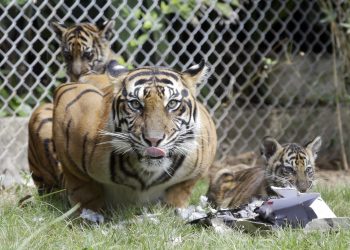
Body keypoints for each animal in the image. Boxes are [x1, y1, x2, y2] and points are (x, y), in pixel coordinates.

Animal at [32, 61, 217, 212]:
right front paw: (88, 216)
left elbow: (181, 191)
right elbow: (83, 188)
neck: (146, 175)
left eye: (172, 104)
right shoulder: (69, 103)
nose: (154, 140)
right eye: (135, 104)